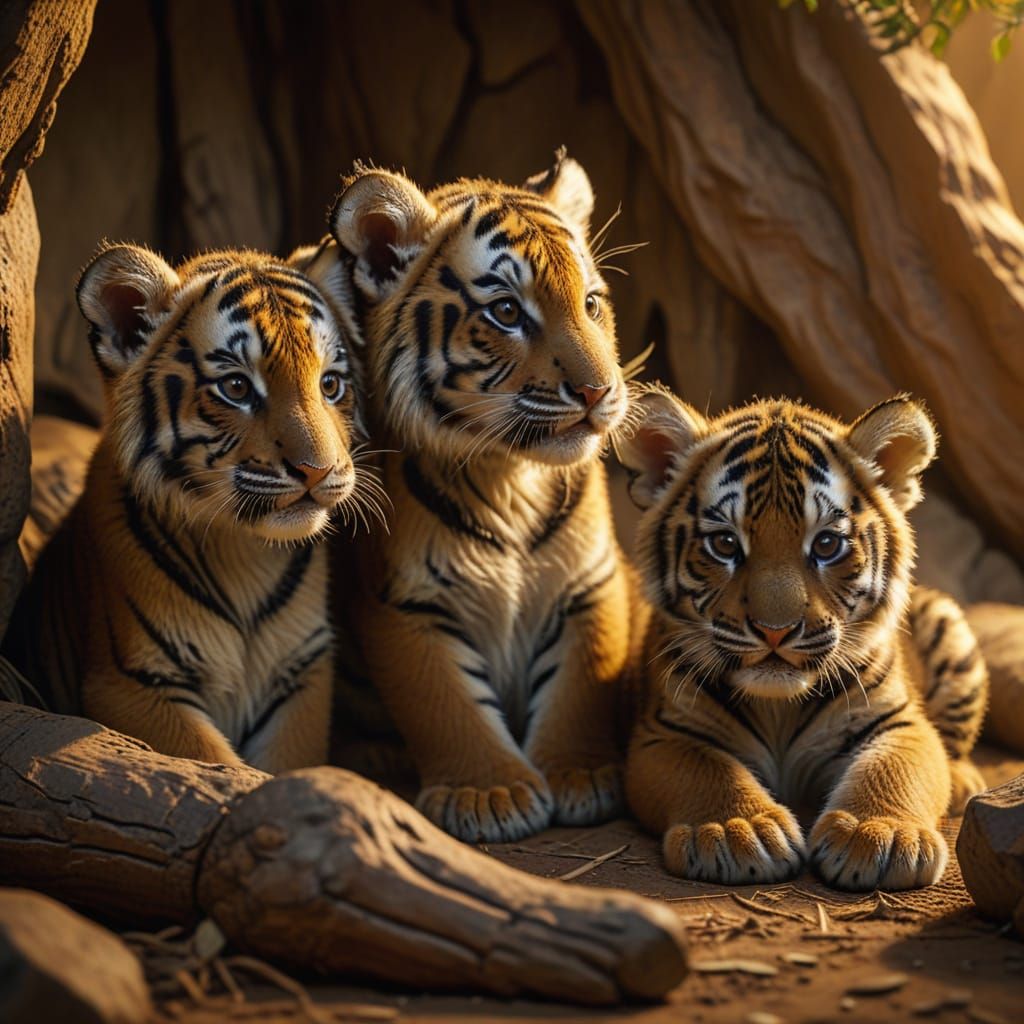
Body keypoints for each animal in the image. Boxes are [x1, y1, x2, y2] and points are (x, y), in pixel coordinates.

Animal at [3, 242, 373, 773]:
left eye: (330, 384)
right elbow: (216, 763)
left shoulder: (302, 672)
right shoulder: (132, 684)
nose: (318, 472)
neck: (246, 552)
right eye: (236, 388)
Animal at [319, 149, 645, 842]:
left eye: (591, 303)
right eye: (507, 313)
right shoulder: (404, 602)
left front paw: (580, 776)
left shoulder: (590, 584)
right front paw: (491, 794)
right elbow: (445, 702)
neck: (509, 475)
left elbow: (581, 682)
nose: (600, 391)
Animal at [616, 387, 989, 891]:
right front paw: (740, 831)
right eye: (725, 544)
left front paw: (881, 835)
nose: (775, 630)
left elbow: (893, 767)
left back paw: (962, 779)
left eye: (827, 545)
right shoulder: (666, 732)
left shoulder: (898, 720)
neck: (778, 707)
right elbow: (707, 769)